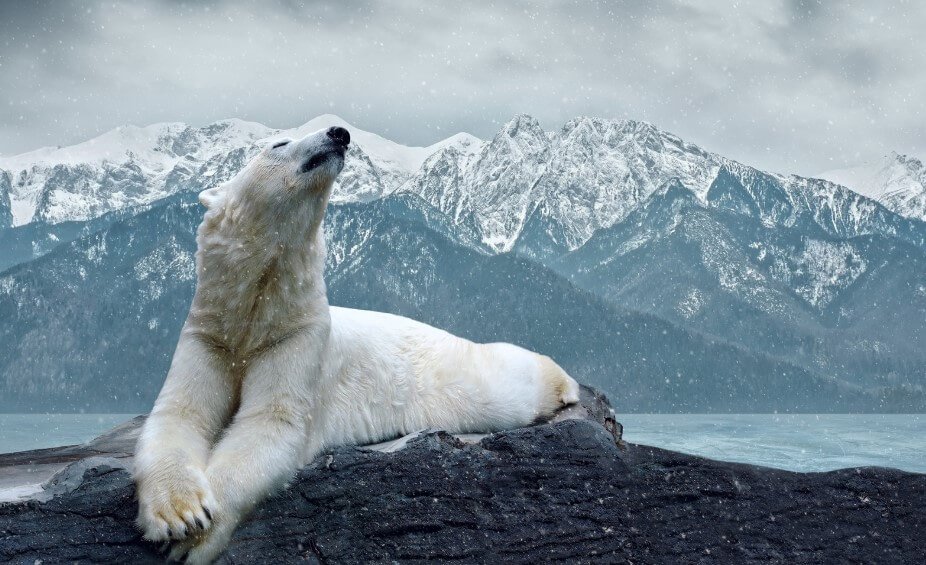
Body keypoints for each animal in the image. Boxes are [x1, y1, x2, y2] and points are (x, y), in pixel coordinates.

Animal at [134, 125, 580, 560]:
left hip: (455, 375)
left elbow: (270, 423)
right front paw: (180, 515)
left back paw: (565, 384)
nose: (339, 133)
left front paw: (196, 535)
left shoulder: (298, 337)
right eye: (279, 143)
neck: (255, 316)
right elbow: (180, 414)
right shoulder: (210, 335)